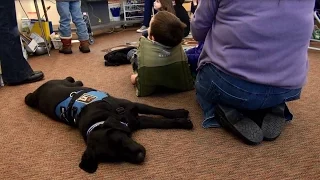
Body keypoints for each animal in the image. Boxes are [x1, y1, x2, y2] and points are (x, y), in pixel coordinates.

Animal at [24, 77, 192, 173]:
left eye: (121, 140)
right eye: (116, 158)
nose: (140, 157)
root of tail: (36, 92)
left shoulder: (134, 107)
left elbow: (159, 111)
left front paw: (180, 113)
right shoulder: (136, 121)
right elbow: (160, 121)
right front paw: (182, 121)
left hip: (65, 83)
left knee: (73, 81)